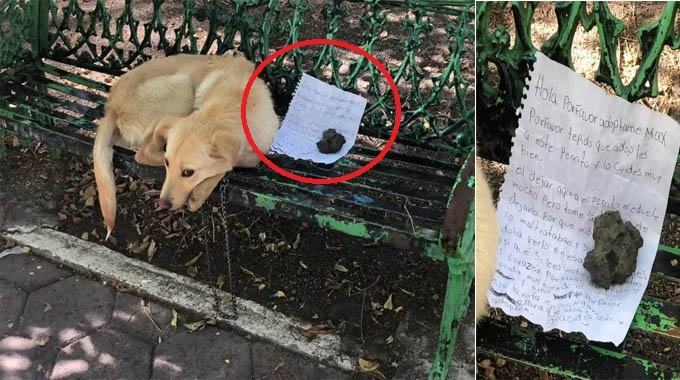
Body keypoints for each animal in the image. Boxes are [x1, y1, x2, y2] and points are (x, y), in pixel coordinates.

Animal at [93, 54, 278, 238]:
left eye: (188, 172)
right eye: (167, 163)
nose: (162, 204)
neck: (234, 103)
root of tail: (111, 107)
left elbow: (225, 165)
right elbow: (225, 166)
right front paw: (200, 192)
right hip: (183, 87)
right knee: (142, 152)